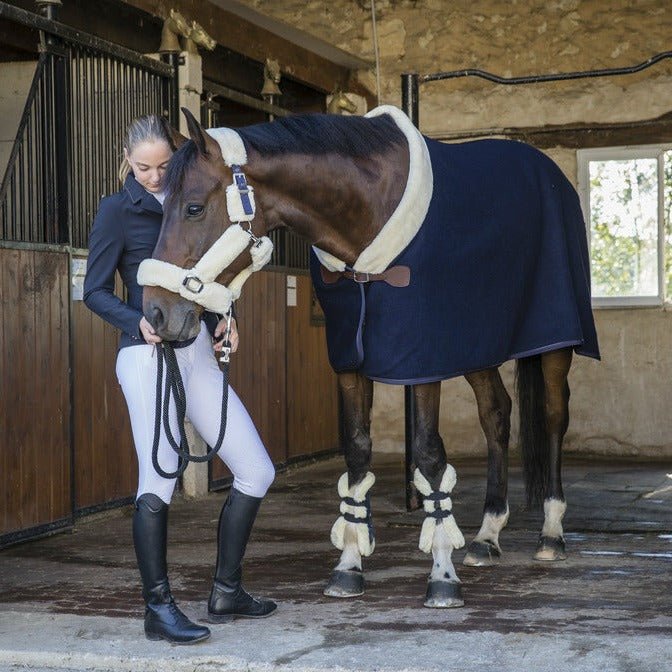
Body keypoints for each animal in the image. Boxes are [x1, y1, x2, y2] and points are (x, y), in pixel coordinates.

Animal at [138, 106, 600, 608]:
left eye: (194, 207)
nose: (156, 314)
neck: (365, 216)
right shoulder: (349, 361)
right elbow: (358, 451)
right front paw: (349, 565)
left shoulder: (423, 359)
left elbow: (429, 455)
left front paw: (442, 574)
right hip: (478, 346)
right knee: (496, 414)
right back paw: (487, 534)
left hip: (554, 344)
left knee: (553, 417)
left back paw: (551, 532)